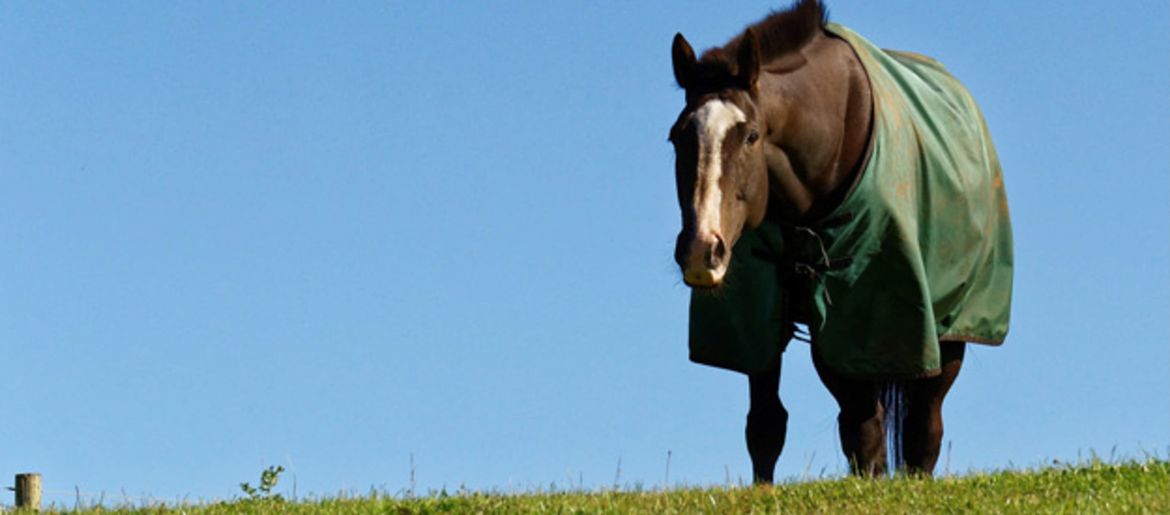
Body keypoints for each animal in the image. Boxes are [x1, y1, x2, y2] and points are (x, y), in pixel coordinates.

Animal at [664, 0, 1010, 482]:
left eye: (750, 135)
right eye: (676, 137)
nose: (701, 251)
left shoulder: (866, 320)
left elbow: (866, 430)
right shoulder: (762, 320)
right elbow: (766, 425)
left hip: (949, 328)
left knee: (924, 427)